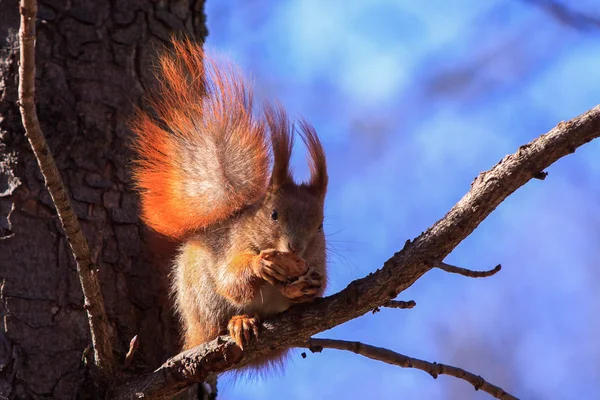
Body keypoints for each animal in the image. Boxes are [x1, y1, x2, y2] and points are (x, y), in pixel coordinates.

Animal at [130, 39, 328, 368]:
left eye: (321, 225)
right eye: (273, 214)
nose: (295, 248)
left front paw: (310, 287)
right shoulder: (233, 247)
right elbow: (231, 280)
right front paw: (261, 265)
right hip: (203, 296)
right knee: (219, 320)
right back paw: (240, 322)